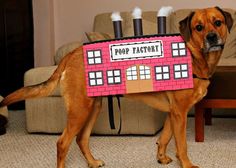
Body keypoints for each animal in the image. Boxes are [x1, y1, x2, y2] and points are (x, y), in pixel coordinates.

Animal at [0, 6, 232, 168]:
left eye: (218, 22)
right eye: (198, 27)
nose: (212, 37)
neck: (194, 56)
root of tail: (71, 53)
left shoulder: (173, 113)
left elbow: (165, 137)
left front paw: (161, 157)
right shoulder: (180, 113)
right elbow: (181, 145)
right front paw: (186, 164)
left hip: (94, 107)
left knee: (81, 139)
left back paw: (93, 162)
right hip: (80, 110)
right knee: (63, 143)